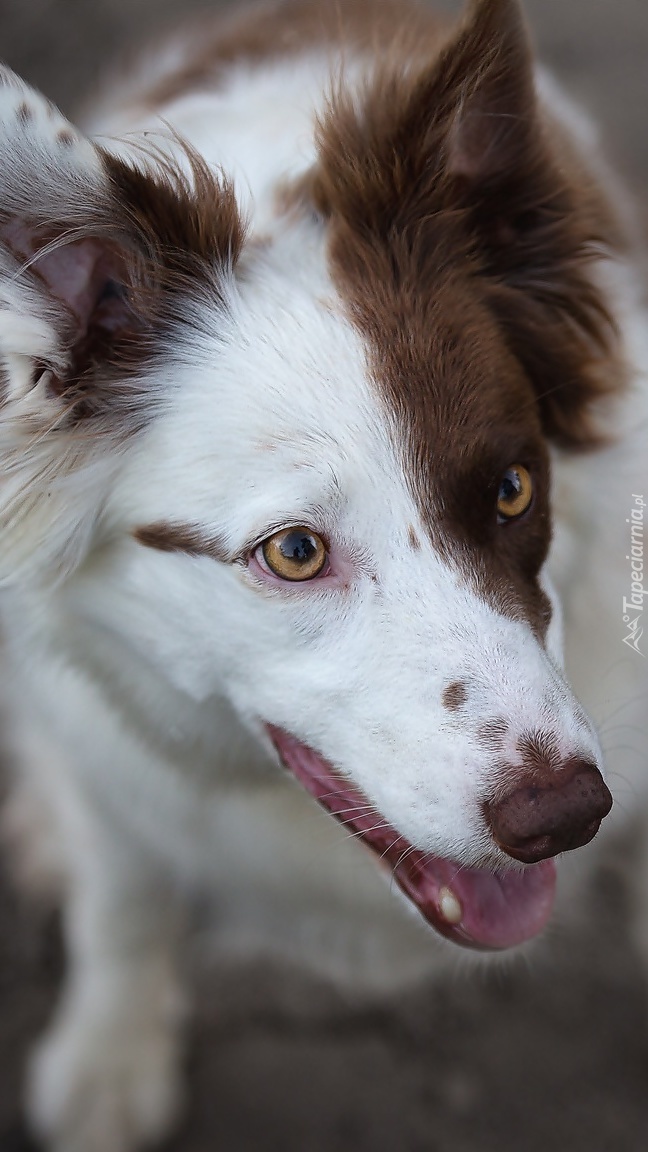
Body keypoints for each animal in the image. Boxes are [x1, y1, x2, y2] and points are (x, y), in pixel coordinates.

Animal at [0, 0, 641, 1147]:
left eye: (513, 489)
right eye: (293, 552)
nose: (566, 817)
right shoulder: (100, 752)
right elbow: (122, 895)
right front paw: (109, 1057)